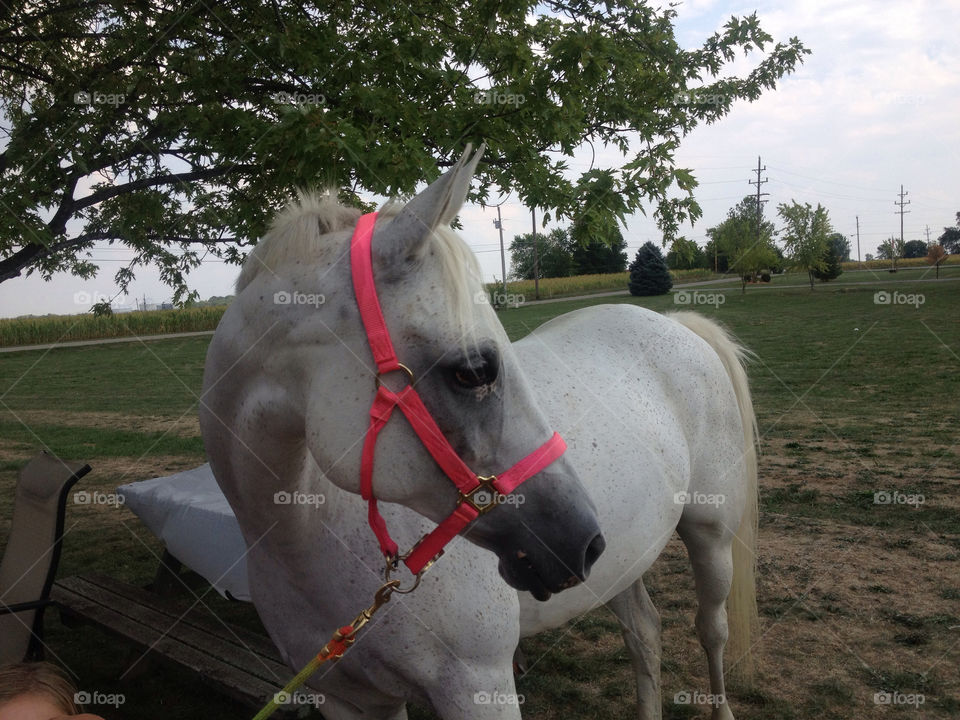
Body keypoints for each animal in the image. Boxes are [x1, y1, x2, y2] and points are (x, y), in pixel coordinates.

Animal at [201, 148, 756, 720]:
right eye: (473, 370)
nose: (581, 541)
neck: (300, 535)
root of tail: (677, 323)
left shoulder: (477, 686)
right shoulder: (350, 700)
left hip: (711, 535)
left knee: (711, 629)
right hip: (624, 559)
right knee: (644, 632)